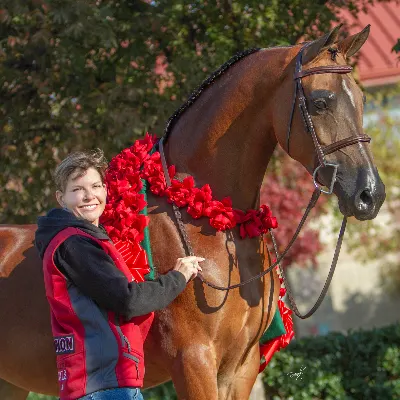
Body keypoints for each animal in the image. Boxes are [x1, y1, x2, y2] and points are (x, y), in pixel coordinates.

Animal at [0, 25, 388, 400]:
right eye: (321, 102)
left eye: (363, 101)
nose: (370, 194)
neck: (211, 218)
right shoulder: (193, 360)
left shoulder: (241, 368)